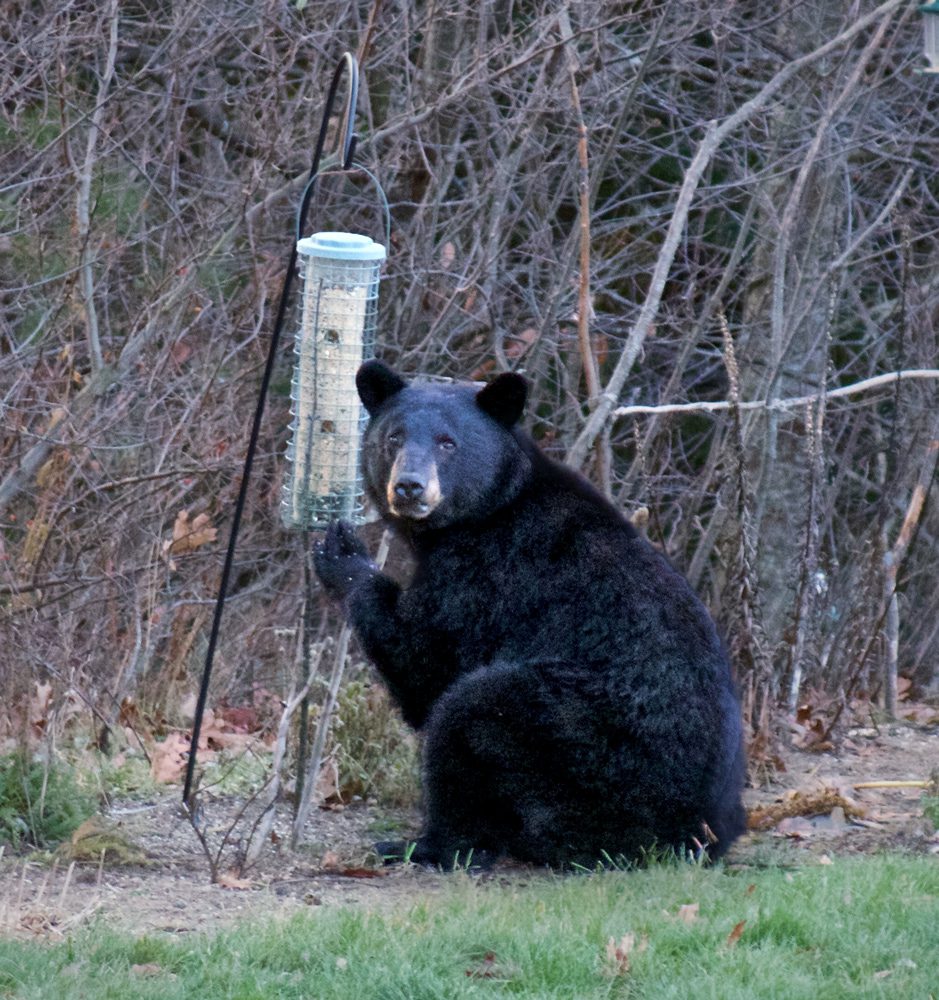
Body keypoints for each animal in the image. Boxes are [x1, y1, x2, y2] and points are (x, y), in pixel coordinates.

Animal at [316, 362, 748, 868]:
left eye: (448, 442)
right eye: (394, 437)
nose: (408, 487)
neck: (490, 508)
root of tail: (698, 831)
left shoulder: (481, 575)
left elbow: (426, 664)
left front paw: (345, 558)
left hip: (590, 741)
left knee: (471, 709)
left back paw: (434, 844)